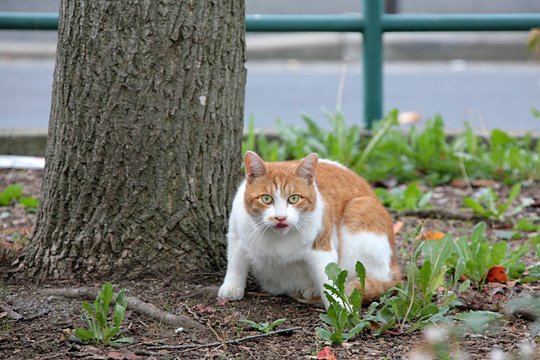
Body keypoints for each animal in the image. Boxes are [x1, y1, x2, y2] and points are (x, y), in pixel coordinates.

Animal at [217, 151, 398, 306]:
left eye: (294, 199)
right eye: (266, 199)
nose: (280, 217)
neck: (277, 238)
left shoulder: (321, 249)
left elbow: (329, 282)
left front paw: (340, 307)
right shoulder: (236, 235)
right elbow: (235, 263)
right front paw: (231, 288)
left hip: (359, 209)